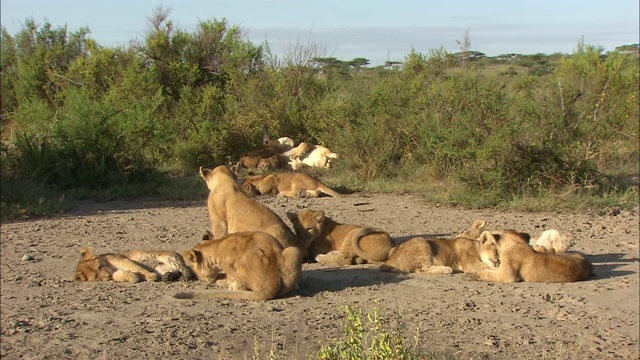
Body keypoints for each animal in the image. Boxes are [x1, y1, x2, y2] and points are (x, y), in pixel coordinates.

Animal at [174, 231, 304, 300]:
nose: (198, 278)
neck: (216, 246)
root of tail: (274, 277)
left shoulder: (227, 265)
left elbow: (230, 278)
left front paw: (221, 281)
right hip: (294, 251)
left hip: (246, 257)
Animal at [462, 231, 592, 284]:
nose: (497, 260)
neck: (517, 242)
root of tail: (588, 263)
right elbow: (490, 269)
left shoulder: (508, 276)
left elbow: (488, 273)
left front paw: (474, 274)